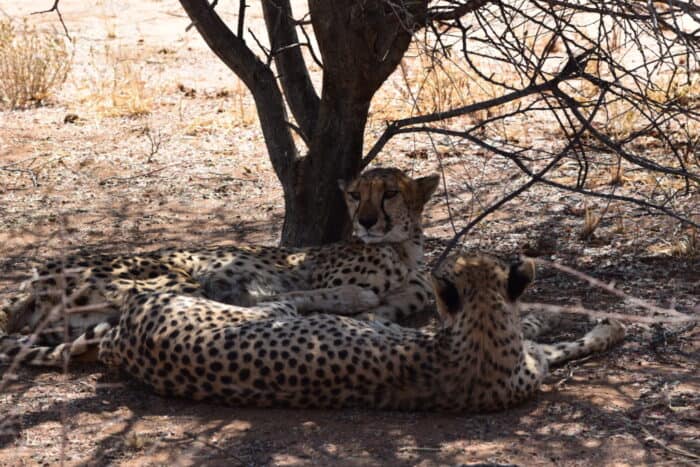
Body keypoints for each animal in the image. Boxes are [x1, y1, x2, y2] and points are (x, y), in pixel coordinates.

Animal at [0, 168, 440, 362]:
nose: (365, 221)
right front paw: (356, 303)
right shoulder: (314, 275)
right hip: (173, 277)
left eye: (390, 193)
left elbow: (402, 299)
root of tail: (31, 279)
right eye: (354, 195)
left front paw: (376, 316)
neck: (402, 247)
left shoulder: (411, 287)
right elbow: (315, 290)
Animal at [4, 252, 625, 412]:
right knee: (280, 298)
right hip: (209, 301)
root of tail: (122, 346)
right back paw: (349, 296)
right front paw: (603, 326)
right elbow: (556, 340)